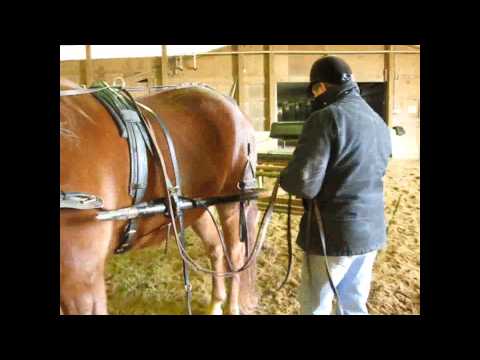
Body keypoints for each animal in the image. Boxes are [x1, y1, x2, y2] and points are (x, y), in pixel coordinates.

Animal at [62, 79, 260, 316]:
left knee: (236, 255)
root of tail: (229, 103)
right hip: (196, 207)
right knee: (215, 247)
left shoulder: (82, 279)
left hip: (233, 201)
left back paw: (232, 306)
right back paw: (215, 303)